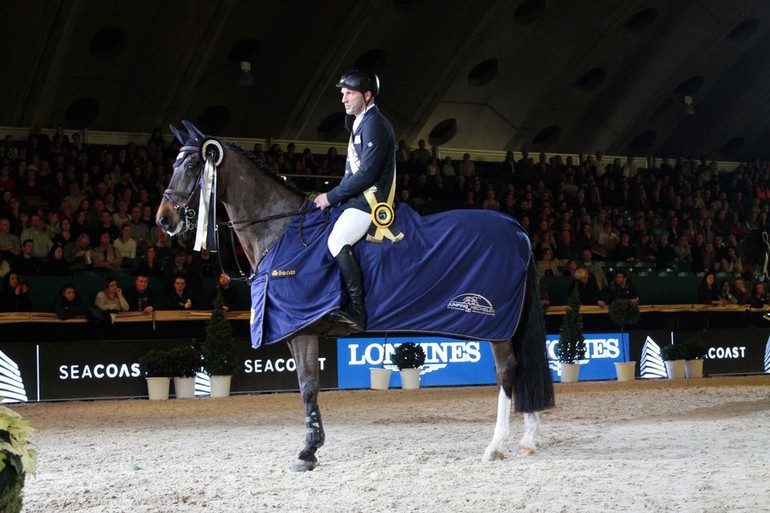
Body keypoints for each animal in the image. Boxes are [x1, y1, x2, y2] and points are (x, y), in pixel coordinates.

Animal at [156, 120, 552, 472]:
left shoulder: (303, 330)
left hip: (496, 324)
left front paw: (308, 452)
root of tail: (518, 229)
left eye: (191, 165)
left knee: (507, 371)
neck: (280, 231)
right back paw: (528, 440)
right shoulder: (295, 332)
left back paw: (495, 446)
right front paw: (311, 447)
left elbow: (308, 387)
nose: (164, 219)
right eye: (173, 165)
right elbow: (306, 387)